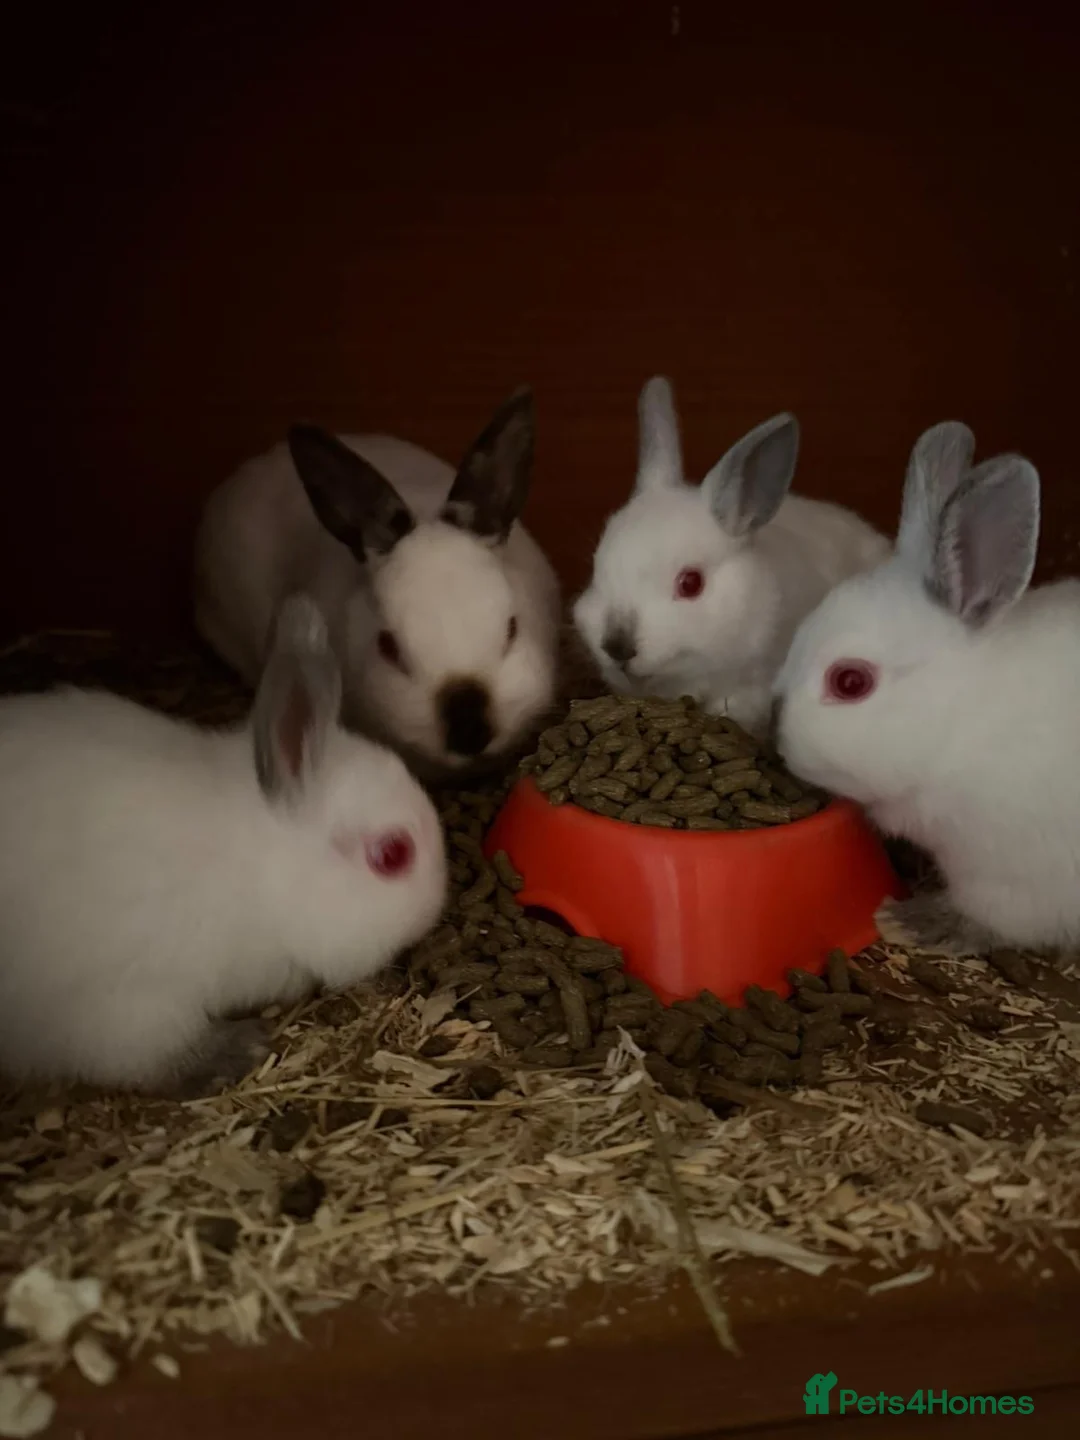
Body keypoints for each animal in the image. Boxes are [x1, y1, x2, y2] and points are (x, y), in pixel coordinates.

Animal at [0, 595, 447, 1094]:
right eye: (392, 855)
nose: (438, 904)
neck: (253, 874)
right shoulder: (134, 1004)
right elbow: (159, 1057)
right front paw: (240, 1049)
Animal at [772, 418, 1080, 957]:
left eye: (850, 682)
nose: (775, 730)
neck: (962, 725)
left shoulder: (1012, 883)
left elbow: (980, 921)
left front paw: (904, 921)